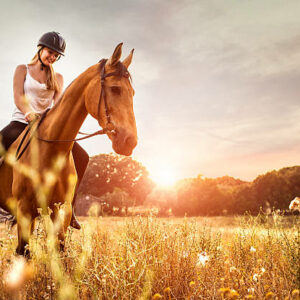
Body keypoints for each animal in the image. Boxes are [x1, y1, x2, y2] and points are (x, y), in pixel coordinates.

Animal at [0, 43, 137, 256]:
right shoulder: (23, 209)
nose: (130, 141)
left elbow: (60, 249)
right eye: (115, 89)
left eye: (133, 93)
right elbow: (23, 252)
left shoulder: (60, 211)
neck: (49, 151)